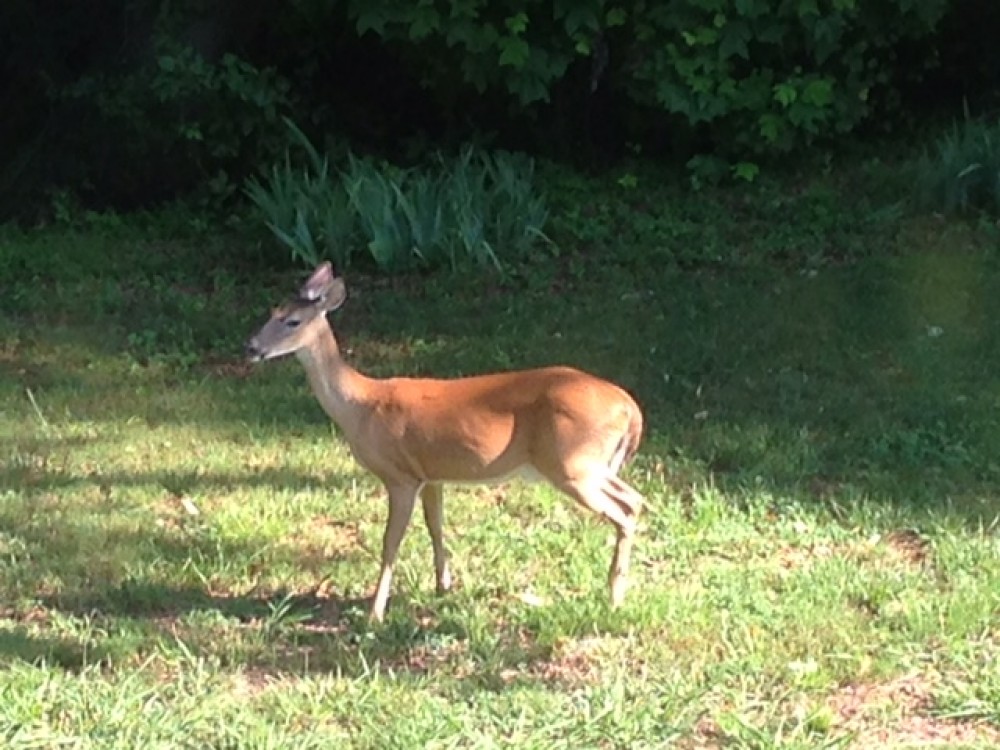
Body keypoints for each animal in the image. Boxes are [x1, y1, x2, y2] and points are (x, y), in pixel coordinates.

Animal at [246, 264, 644, 624]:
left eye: (292, 321)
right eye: (271, 311)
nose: (250, 346)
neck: (361, 406)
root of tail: (630, 408)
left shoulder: (400, 475)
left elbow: (390, 542)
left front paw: (375, 613)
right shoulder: (431, 474)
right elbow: (436, 525)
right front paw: (443, 585)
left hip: (572, 462)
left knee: (628, 506)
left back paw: (614, 596)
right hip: (593, 463)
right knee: (635, 499)